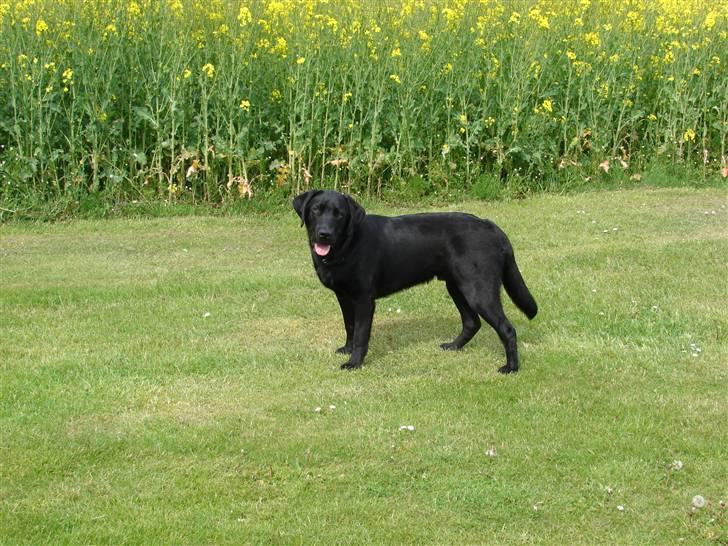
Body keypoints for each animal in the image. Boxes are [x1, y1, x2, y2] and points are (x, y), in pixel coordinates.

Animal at [292, 189, 536, 372]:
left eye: (339, 214)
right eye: (316, 210)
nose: (324, 234)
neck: (347, 245)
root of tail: (492, 227)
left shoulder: (364, 299)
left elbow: (361, 333)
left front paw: (354, 362)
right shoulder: (344, 297)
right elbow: (349, 326)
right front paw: (347, 349)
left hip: (479, 291)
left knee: (506, 329)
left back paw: (511, 368)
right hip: (457, 287)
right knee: (472, 322)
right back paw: (453, 346)